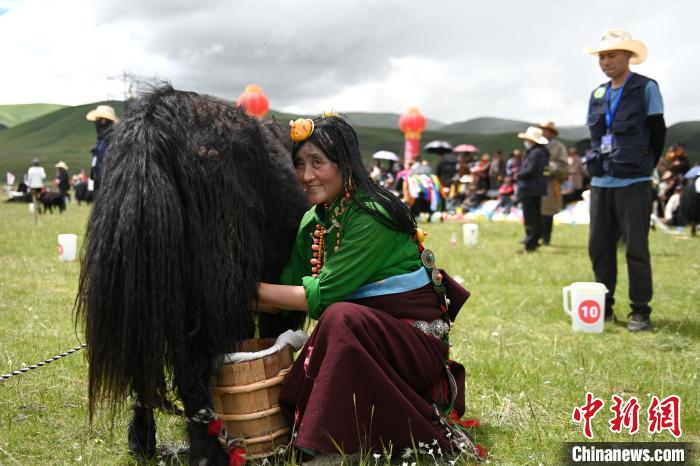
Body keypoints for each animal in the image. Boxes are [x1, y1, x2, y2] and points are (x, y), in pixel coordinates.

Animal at [74, 85, 308, 464]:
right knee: (196, 368)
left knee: (148, 365)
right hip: (213, 292)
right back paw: (208, 451)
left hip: (147, 290)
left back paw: (144, 444)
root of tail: (155, 120)